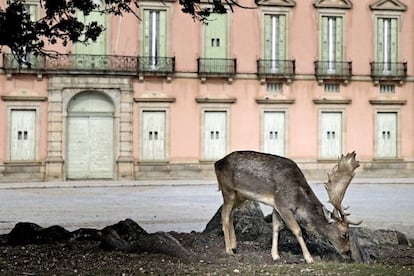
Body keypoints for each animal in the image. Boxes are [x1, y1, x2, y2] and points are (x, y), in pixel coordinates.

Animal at [215, 151, 360, 264]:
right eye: (344, 234)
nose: (348, 253)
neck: (298, 198)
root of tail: (217, 163)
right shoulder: (283, 204)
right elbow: (297, 230)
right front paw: (309, 258)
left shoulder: (276, 206)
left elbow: (276, 228)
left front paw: (275, 256)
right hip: (228, 190)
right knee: (224, 214)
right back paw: (229, 250)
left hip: (240, 196)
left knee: (230, 213)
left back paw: (234, 245)